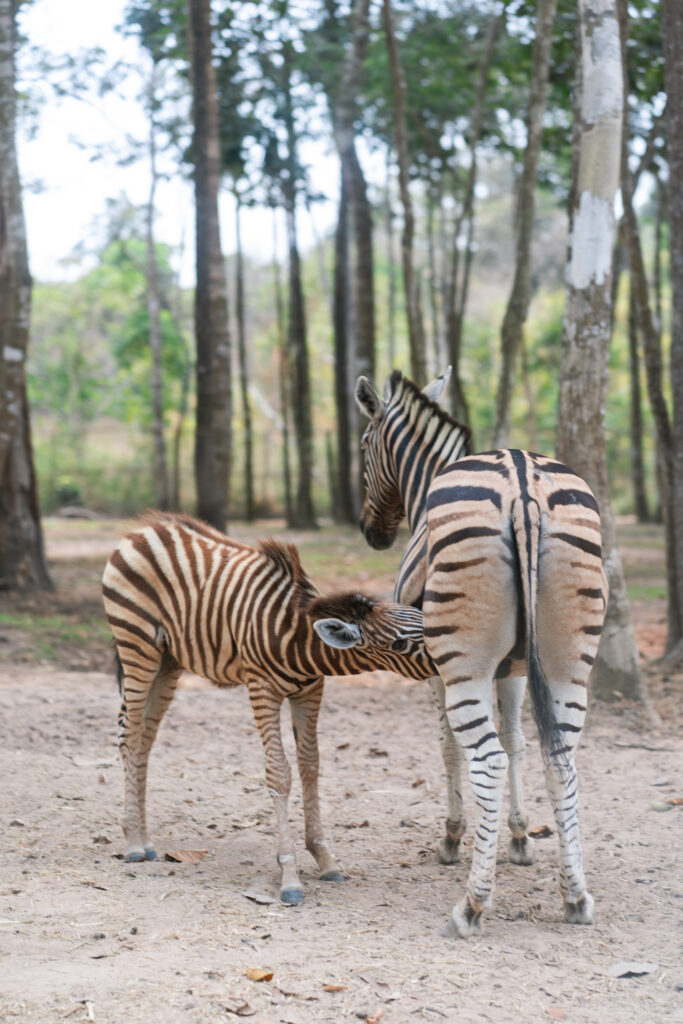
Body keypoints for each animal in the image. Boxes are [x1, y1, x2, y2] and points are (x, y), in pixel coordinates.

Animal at [100, 512, 432, 905]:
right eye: (398, 644)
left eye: (421, 618)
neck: (299, 640)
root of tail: (144, 528)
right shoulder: (262, 689)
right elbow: (279, 772)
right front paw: (289, 876)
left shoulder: (311, 691)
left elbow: (310, 765)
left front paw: (324, 858)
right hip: (137, 646)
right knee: (130, 734)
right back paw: (133, 843)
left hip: (169, 660)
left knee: (145, 741)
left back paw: (147, 839)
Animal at [356, 368, 606, 937]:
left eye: (362, 446)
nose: (370, 533)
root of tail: (522, 482)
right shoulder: (514, 670)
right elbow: (518, 741)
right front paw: (519, 837)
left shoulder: (430, 664)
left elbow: (451, 748)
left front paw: (452, 837)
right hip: (568, 663)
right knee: (561, 758)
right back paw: (575, 896)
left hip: (464, 665)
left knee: (485, 760)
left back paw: (472, 904)